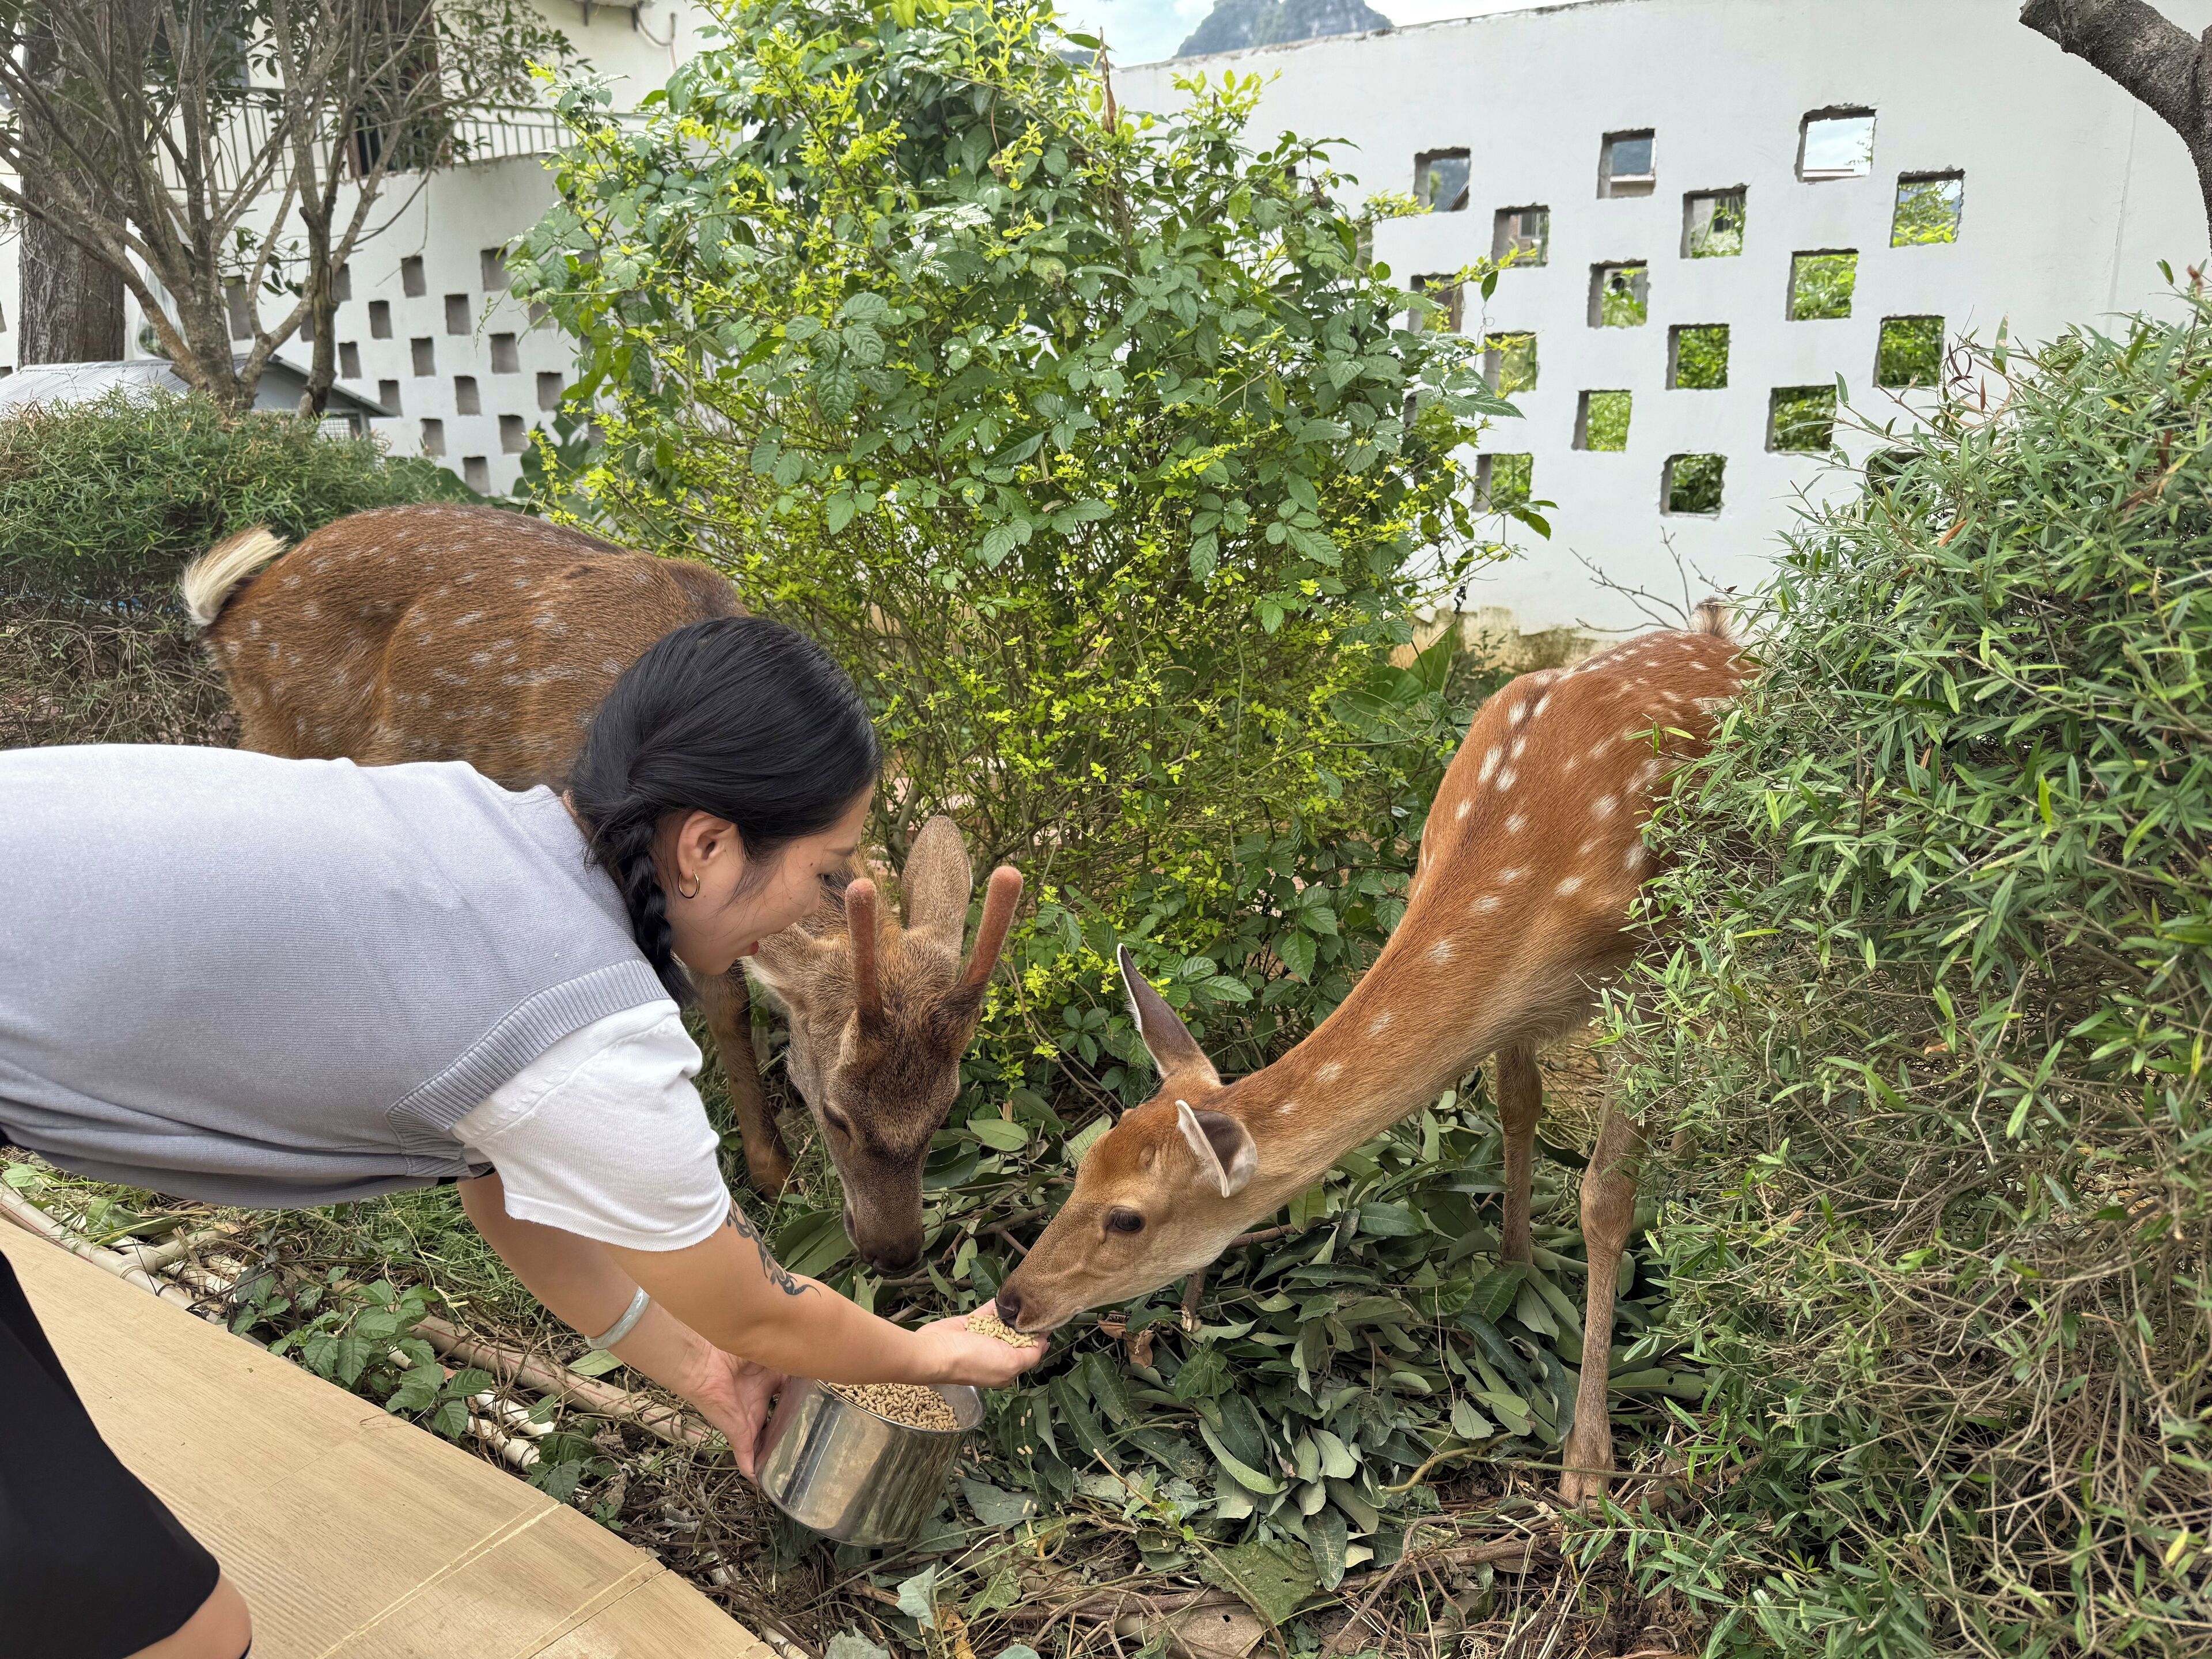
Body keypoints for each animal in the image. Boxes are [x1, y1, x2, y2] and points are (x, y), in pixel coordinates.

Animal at [180, 502, 1023, 1273]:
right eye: (840, 1115)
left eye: (945, 1105)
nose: (897, 1254)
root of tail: (231, 614)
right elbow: (713, 997)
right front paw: (770, 1170)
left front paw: (769, 1168)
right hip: (292, 739)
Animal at [993, 604, 1746, 1505]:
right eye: (1082, 1166)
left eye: (1128, 1217)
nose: (1010, 1302)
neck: (1534, 892)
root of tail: (1721, 634)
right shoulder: (1516, 1004)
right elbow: (1516, 1104)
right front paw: (1514, 1269)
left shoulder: (1649, 968)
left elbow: (1605, 1196)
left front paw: (1588, 1463)